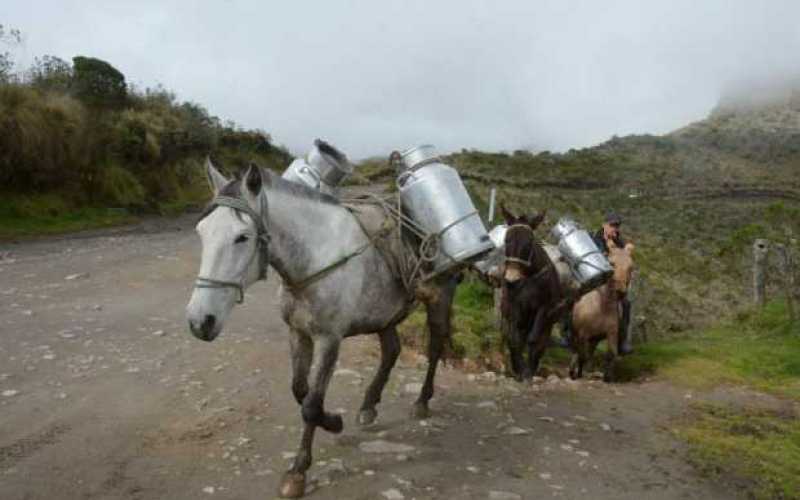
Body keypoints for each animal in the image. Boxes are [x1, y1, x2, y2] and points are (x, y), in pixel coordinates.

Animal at [186, 162, 456, 498]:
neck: (315, 257)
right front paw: (334, 422)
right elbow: (300, 392)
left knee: (434, 347)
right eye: (201, 232)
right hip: (385, 314)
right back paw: (368, 406)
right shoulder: (298, 334)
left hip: (440, 298)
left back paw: (421, 402)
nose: (200, 322)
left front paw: (298, 471)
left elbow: (311, 405)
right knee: (391, 351)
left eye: (242, 237)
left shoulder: (329, 340)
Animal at [568, 240, 636, 380]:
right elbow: (582, 355)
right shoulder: (583, 334)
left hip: (594, 338)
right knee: (577, 351)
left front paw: (608, 377)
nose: (620, 292)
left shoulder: (611, 333)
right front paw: (579, 373)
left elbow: (610, 354)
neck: (601, 306)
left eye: (630, 267)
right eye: (612, 263)